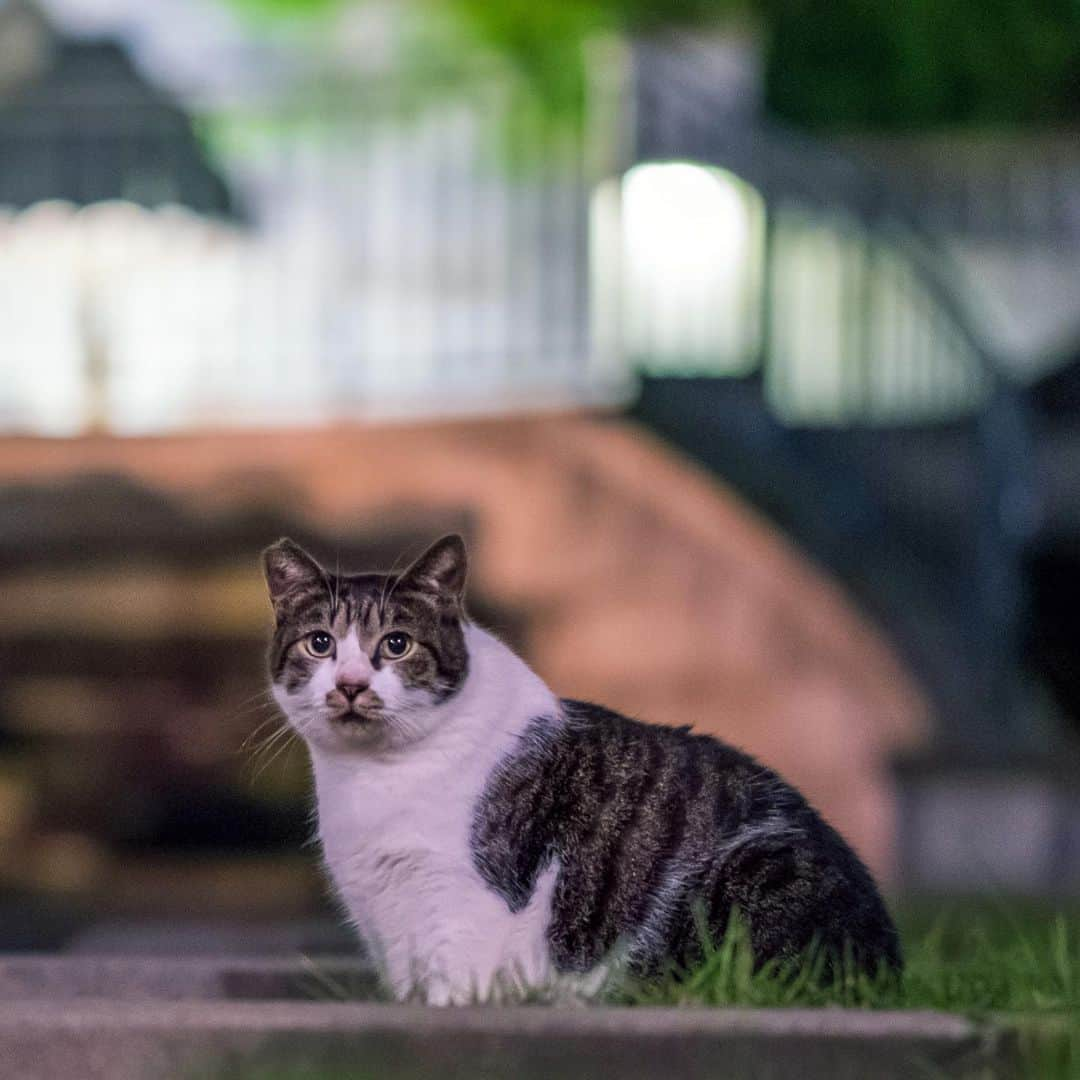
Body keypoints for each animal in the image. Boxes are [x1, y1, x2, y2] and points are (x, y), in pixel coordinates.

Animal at [263, 533, 902, 1002]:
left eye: (396, 645)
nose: (350, 685)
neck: (373, 777)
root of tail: (888, 967)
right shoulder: (388, 925)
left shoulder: (463, 905)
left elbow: (453, 991)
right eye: (320, 643)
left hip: (753, 874)